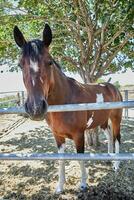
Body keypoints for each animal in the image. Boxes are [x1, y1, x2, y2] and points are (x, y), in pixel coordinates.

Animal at [13, 23, 122, 194]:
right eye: (20, 64)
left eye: (50, 62)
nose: (35, 107)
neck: (65, 100)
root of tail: (112, 87)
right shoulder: (58, 136)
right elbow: (61, 159)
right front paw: (60, 186)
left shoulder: (79, 135)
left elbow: (80, 158)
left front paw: (83, 184)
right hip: (103, 121)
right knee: (110, 135)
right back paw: (109, 159)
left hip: (116, 118)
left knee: (117, 138)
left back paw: (116, 165)